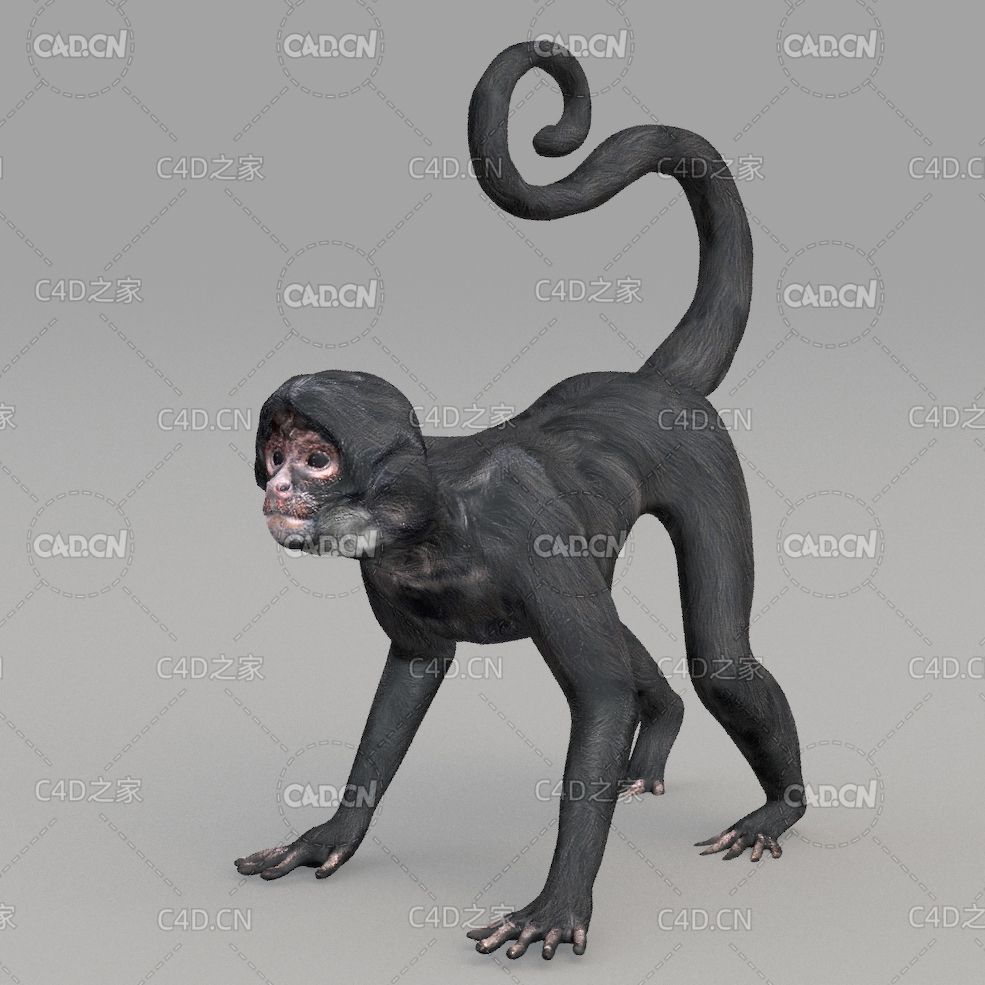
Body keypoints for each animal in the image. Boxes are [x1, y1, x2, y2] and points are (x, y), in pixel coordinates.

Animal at [234, 40, 806, 961]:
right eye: (276, 454)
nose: (282, 486)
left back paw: (780, 807)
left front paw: (558, 903)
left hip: (707, 467)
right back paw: (661, 726)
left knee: (718, 658)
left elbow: (600, 694)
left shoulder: (528, 532)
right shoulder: (386, 572)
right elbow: (412, 672)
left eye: (317, 459)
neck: (435, 525)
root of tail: (651, 382)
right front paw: (331, 834)